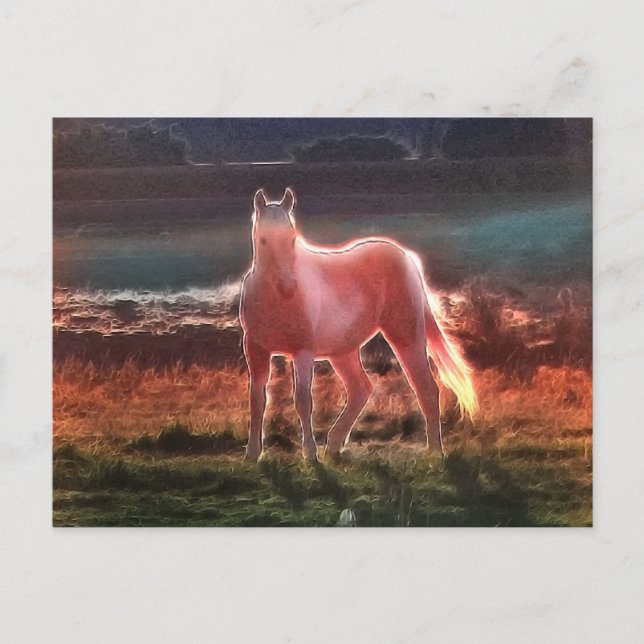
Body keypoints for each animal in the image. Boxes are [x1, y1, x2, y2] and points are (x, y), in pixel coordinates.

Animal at [239, 187, 476, 462]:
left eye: (291, 239)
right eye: (263, 240)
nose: (288, 288)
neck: (274, 300)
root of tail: (406, 258)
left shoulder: (303, 353)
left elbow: (302, 401)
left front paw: (310, 453)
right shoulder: (256, 349)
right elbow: (257, 400)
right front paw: (252, 453)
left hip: (406, 336)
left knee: (425, 387)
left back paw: (435, 450)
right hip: (343, 352)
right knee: (361, 389)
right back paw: (334, 444)